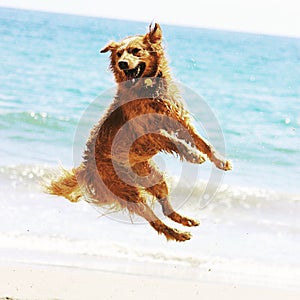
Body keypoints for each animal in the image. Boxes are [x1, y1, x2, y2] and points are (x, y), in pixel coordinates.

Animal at [45, 24, 231, 244]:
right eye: (118, 54)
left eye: (136, 50)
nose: (122, 63)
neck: (147, 89)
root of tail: (86, 168)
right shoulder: (147, 131)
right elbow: (171, 139)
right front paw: (193, 155)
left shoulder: (179, 119)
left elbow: (203, 142)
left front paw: (220, 161)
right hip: (128, 193)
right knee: (155, 221)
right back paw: (177, 234)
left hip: (154, 178)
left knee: (166, 210)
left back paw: (185, 220)